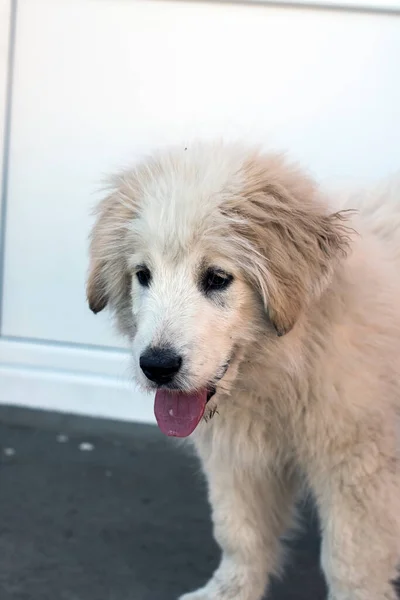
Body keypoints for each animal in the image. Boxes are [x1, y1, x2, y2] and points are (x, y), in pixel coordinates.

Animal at [86, 143, 400, 600]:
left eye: (217, 278)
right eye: (143, 275)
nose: (157, 366)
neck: (287, 365)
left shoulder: (359, 465)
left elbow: (351, 562)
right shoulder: (235, 456)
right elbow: (238, 532)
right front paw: (228, 591)